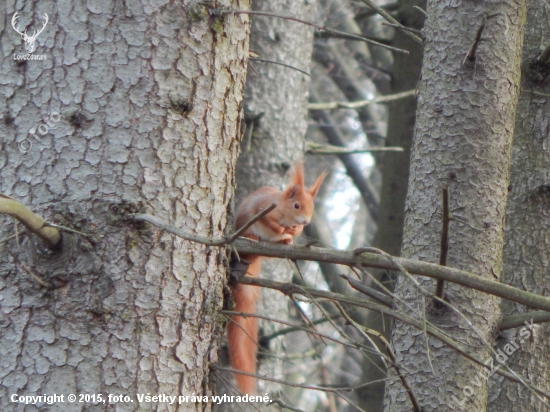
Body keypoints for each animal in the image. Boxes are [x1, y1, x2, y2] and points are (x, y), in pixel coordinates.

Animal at [229, 163, 328, 394]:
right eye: (297, 205)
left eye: (312, 207)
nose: (305, 221)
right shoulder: (262, 207)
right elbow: (268, 220)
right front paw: (281, 228)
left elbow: (294, 231)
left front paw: (293, 231)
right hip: (244, 224)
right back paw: (255, 236)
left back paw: (286, 241)